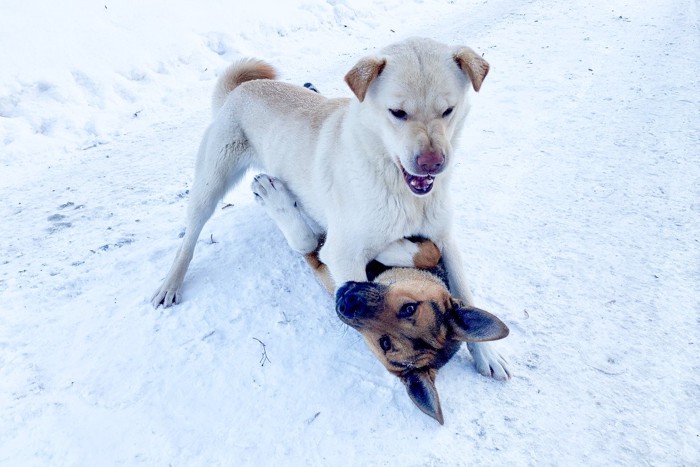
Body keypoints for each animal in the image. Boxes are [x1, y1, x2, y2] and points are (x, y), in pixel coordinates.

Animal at [153, 36, 512, 380]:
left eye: (448, 110)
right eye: (397, 112)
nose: (432, 164)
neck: (398, 188)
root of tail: (242, 88)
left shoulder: (445, 238)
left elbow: (461, 290)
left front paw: (487, 355)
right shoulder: (343, 257)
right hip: (210, 184)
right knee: (190, 238)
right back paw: (171, 283)